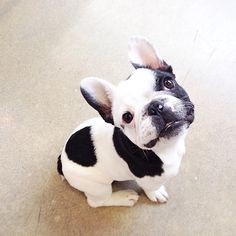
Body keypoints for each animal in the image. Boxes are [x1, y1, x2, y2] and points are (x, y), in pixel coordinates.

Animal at [57, 36, 194, 206]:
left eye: (168, 83)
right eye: (127, 117)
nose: (155, 107)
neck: (167, 147)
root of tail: (61, 161)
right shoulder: (148, 180)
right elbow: (151, 188)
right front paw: (156, 193)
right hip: (97, 185)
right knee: (98, 201)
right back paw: (123, 197)